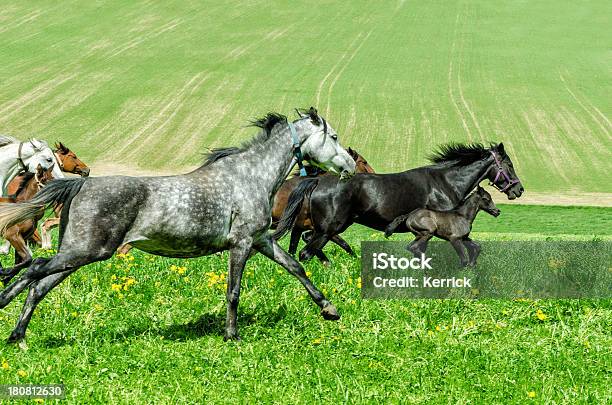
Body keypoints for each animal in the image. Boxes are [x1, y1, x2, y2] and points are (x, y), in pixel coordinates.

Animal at [0, 106, 354, 340]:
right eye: (334, 137)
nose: (350, 166)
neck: (251, 176)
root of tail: (79, 185)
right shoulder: (240, 243)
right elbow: (234, 290)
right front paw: (232, 335)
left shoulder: (260, 240)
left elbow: (296, 267)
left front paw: (329, 310)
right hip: (87, 250)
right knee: (35, 269)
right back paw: (8, 311)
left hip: (80, 252)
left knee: (39, 283)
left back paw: (17, 335)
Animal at [274, 143, 524, 262]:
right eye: (509, 165)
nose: (519, 190)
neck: (445, 182)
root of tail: (317, 181)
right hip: (329, 228)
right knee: (306, 251)